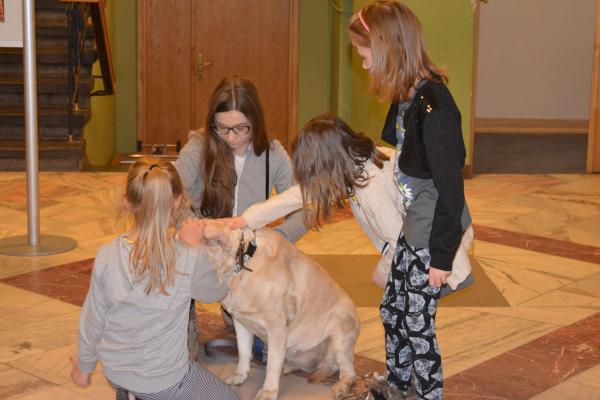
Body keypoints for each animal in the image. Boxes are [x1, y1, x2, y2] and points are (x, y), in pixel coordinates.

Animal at [202, 222, 360, 400]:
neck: (243, 266)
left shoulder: (277, 328)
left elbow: (272, 363)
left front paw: (268, 391)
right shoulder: (240, 322)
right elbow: (243, 352)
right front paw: (240, 375)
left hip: (339, 332)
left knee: (347, 371)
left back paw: (341, 387)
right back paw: (288, 367)